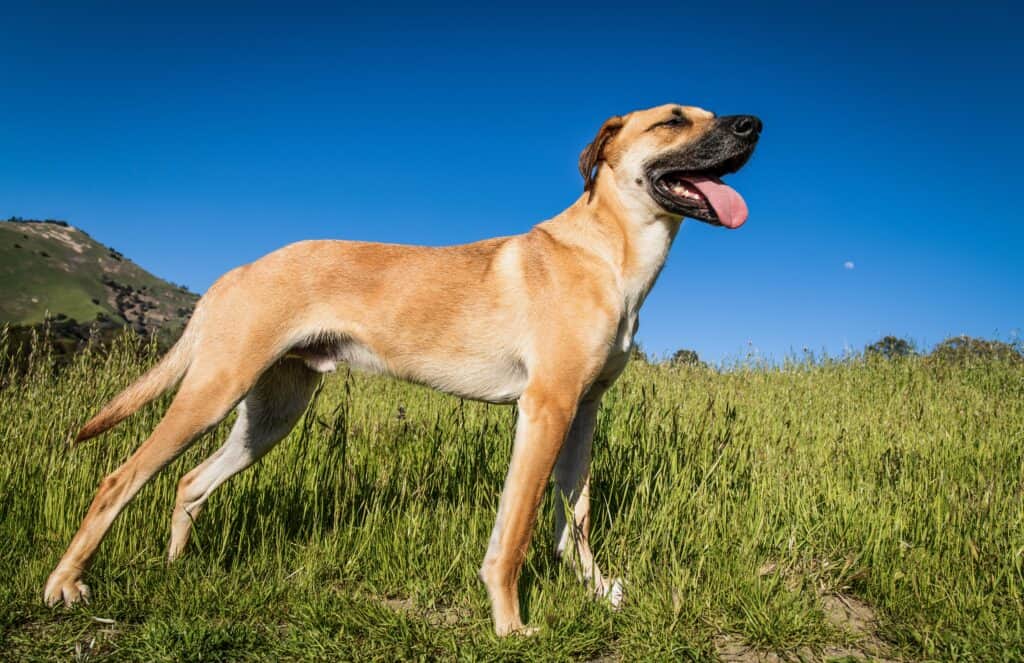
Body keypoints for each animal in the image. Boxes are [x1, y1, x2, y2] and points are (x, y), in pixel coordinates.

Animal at [44, 103, 761, 639]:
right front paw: (510, 624)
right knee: (120, 478)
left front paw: (595, 588)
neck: (611, 249)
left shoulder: (583, 411)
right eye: (672, 120)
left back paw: (176, 568)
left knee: (190, 482)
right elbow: (516, 531)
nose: (753, 124)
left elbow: (575, 515)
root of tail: (235, 271)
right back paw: (64, 583)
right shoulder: (545, 408)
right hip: (214, 392)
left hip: (272, 413)